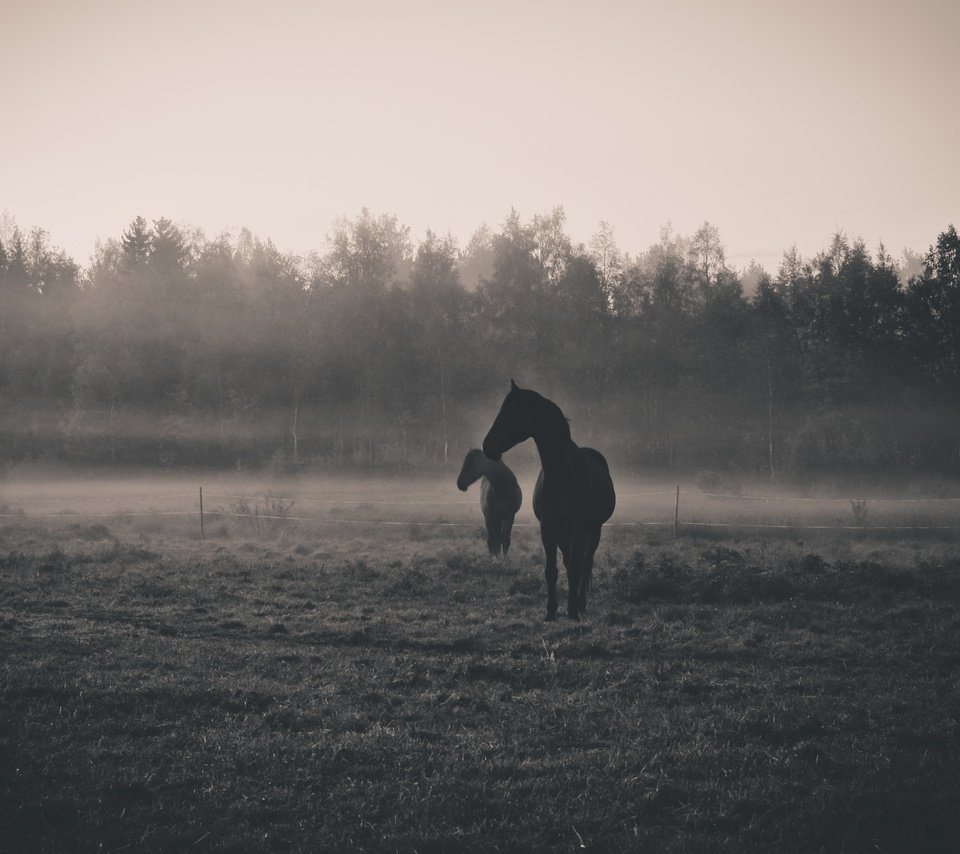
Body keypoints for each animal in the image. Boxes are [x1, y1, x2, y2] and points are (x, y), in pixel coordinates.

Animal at [480, 382, 616, 620]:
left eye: (511, 412)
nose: (487, 446)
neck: (562, 474)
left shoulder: (578, 528)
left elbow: (575, 568)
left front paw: (572, 611)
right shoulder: (548, 527)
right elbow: (552, 570)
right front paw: (551, 611)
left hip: (593, 529)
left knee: (584, 562)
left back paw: (581, 602)